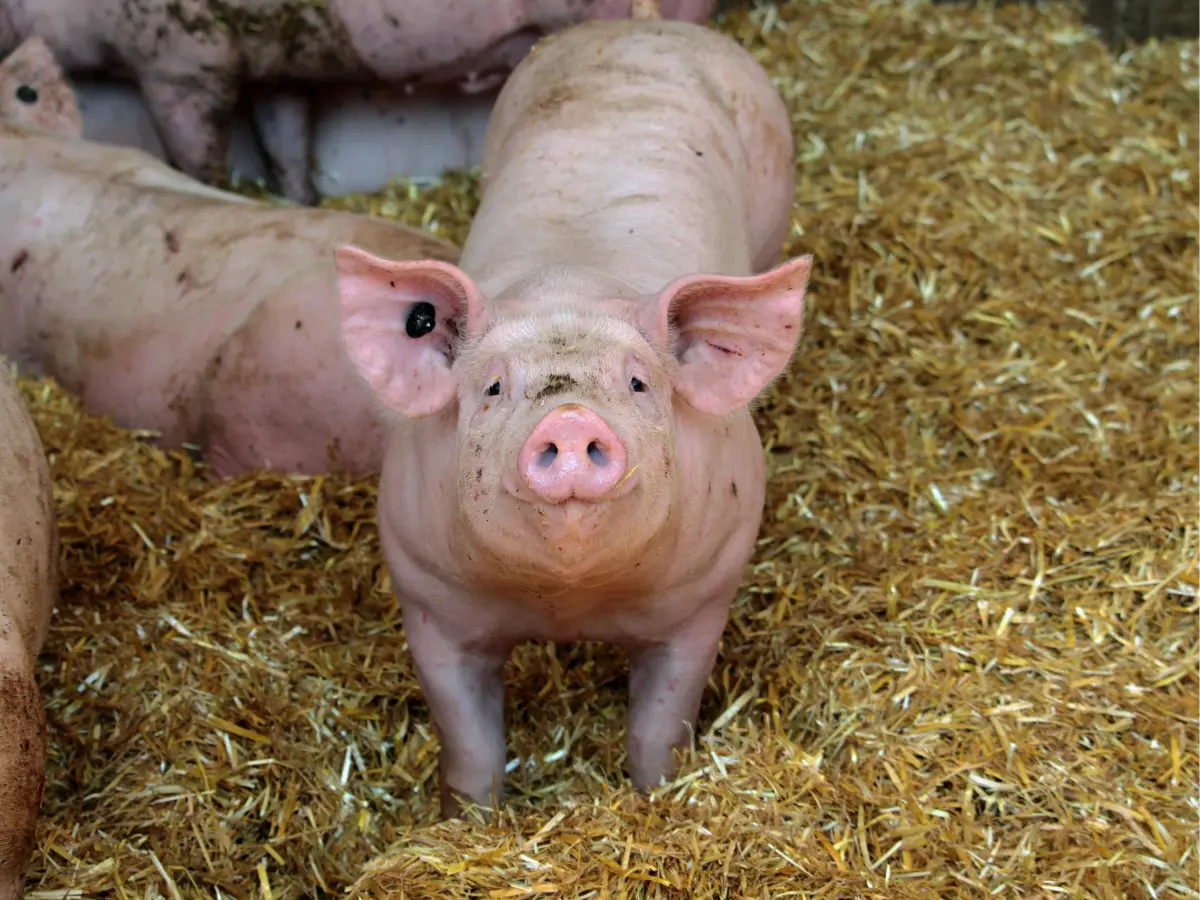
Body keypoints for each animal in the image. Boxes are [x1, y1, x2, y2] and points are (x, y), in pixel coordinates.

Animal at [332, 18, 809, 817]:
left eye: (640, 383)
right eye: (493, 387)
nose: (571, 417)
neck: (568, 602)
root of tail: (640, 22)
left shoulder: (703, 597)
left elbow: (660, 725)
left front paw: (654, 797)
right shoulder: (428, 599)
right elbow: (469, 741)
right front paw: (469, 819)